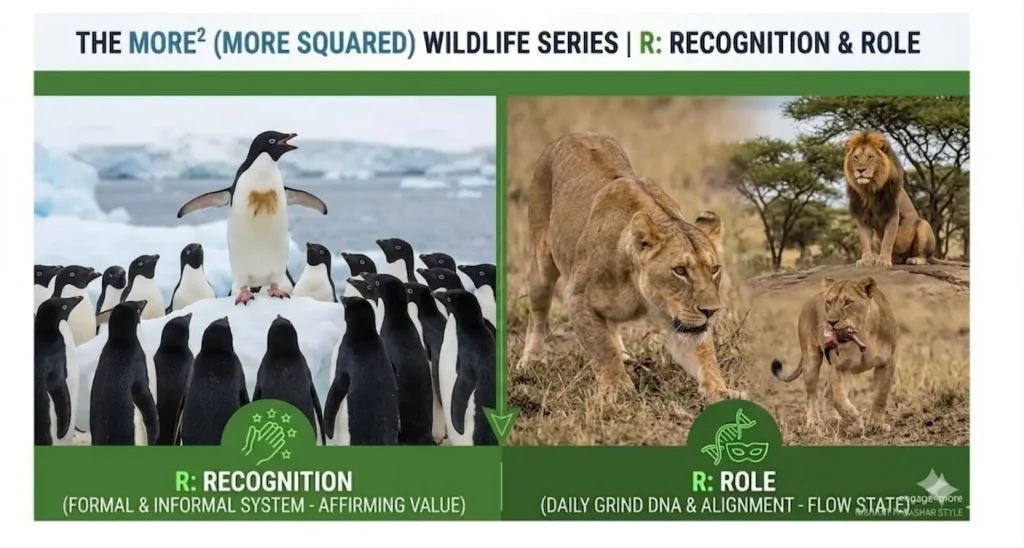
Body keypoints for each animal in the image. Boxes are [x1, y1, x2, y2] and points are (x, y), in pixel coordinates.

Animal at [515, 132, 746, 401]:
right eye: (680, 271)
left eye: (714, 269)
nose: (711, 311)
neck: (636, 286)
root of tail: (574, 134)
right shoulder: (577, 300)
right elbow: (601, 347)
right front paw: (617, 389)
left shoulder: (682, 322)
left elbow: (705, 356)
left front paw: (723, 391)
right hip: (541, 263)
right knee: (539, 312)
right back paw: (531, 359)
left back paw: (624, 356)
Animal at [770, 275, 897, 433]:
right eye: (829, 303)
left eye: (848, 303)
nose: (830, 322)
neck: (862, 336)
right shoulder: (838, 367)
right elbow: (839, 398)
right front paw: (854, 419)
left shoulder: (886, 363)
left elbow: (880, 395)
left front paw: (876, 424)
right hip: (811, 360)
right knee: (812, 394)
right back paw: (814, 421)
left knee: (826, 390)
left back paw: (833, 419)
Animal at [844, 130, 937, 267]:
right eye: (856, 157)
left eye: (870, 157)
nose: (860, 170)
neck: (869, 190)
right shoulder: (862, 217)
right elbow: (865, 241)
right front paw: (866, 260)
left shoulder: (893, 215)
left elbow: (887, 240)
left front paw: (883, 261)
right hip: (876, 239)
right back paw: (891, 259)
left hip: (924, 225)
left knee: (924, 256)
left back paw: (915, 259)